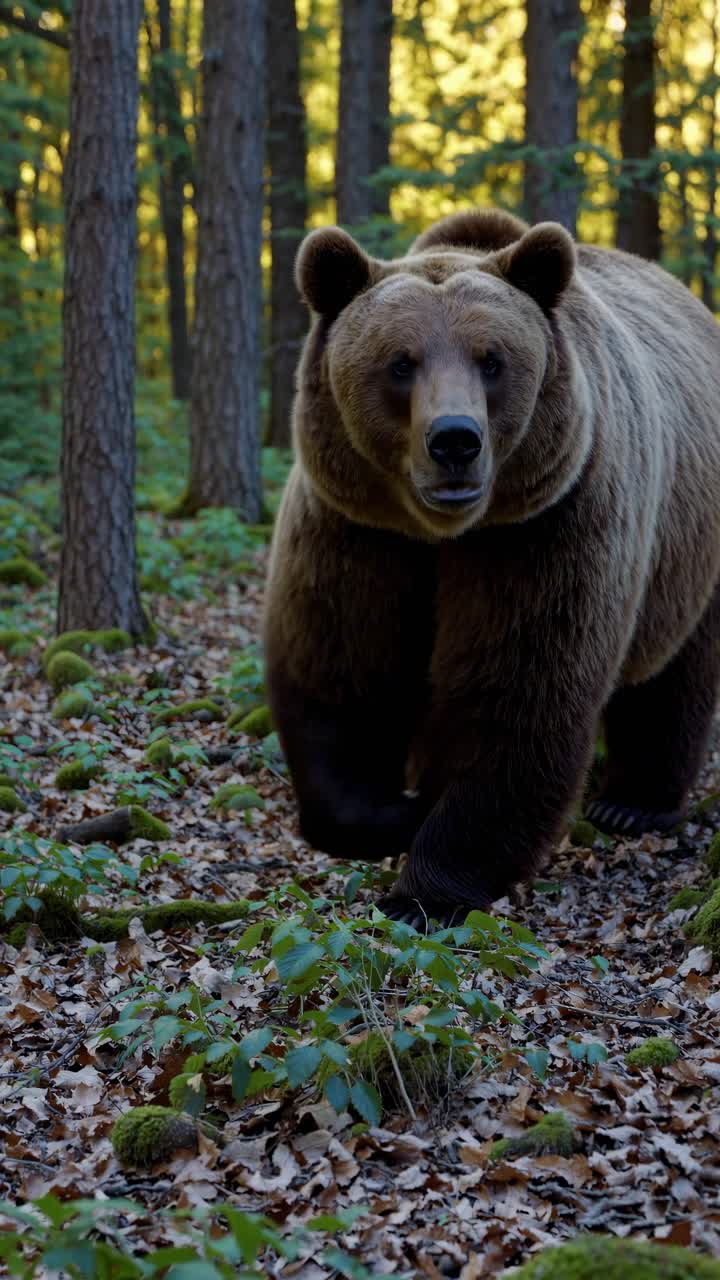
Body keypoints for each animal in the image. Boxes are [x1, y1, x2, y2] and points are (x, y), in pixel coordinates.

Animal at [263, 207, 720, 927]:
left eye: (493, 360)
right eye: (400, 362)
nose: (454, 439)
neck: (444, 535)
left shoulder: (546, 528)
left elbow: (517, 695)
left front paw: (425, 890)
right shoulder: (357, 532)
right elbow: (341, 675)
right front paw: (392, 814)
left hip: (685, 541)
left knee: (674, 671)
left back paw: (633, 803)